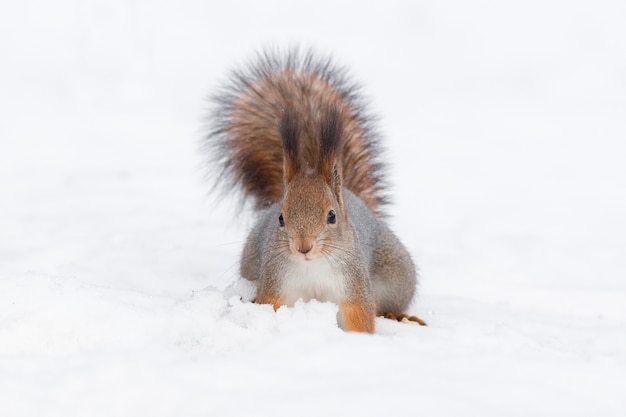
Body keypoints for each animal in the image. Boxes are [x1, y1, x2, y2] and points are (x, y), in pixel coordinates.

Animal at [205, 48, 424, 332]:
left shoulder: (353, 285)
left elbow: (360, 315)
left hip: (397, 276)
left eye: (332, 216)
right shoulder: (277, 281)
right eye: (281, 218)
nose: (303, 247)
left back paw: (399, 316)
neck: (313, 267)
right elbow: (270, 304)